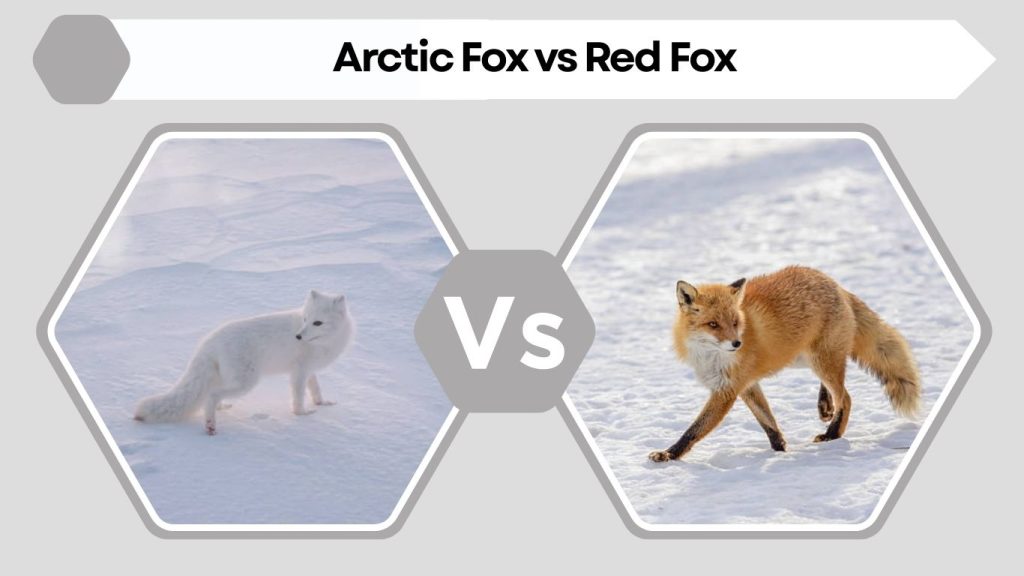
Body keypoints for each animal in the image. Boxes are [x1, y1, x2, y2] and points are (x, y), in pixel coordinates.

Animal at [134, 290, 355, 435]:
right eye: (305, 319)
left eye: (317, 322)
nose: (298, 336)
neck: (325, 342)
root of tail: (210, 340)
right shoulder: (298, 372)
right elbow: (298, 396)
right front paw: (302, 414)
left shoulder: (309, 370)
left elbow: (316, 389)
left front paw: (322, 403)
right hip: (246, 382)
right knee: (212, 395)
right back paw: (210, 425)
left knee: (212, 394)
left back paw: (222, 409)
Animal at [649, 265, 919, 462]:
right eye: (713, 324)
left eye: (735, 322)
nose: (737, 344)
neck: (709, 356)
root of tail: (832, 282)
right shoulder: (746, 385)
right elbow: (767, 421)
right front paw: (780, 449)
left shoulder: (727, 390)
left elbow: (694, 430)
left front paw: (669, 454)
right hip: (804, 359)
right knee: (837, 391)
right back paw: (825, 406)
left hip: (820, 360)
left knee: (846, 397)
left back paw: (832, 434)